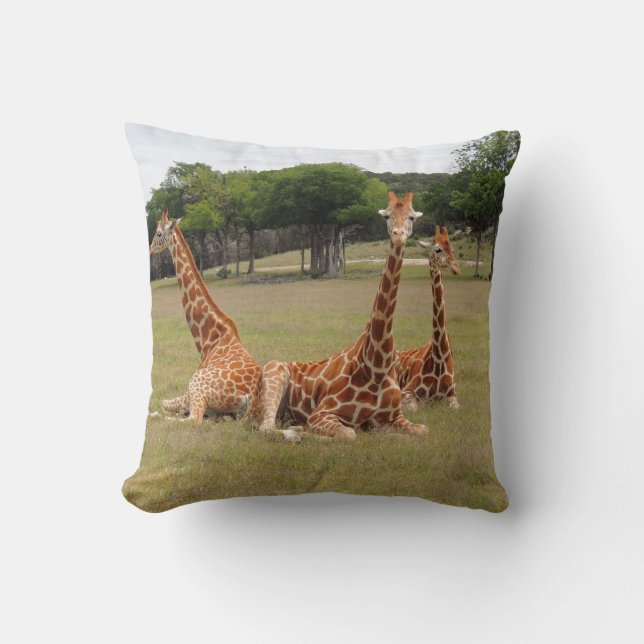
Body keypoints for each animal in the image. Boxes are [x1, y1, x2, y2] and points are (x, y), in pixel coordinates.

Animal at [149, 211, 262, 423]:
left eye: (158, 233)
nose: (150, 249)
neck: (209, 340)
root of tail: (251, 398)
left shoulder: (188, 394)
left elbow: (163, 404)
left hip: (197, 385)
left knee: (192, 420)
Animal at [257, 192, 429, 440]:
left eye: (412, 217)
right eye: (387, 216)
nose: (398, 236)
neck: (376, 365)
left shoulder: (393, 417)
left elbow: (423, 430)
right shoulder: (321, 413)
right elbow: (349, 434)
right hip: (274, 373)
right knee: (267, 428)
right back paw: (296, 431)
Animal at [395, 226, 460, 412]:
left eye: (452, 248)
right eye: (437, 249)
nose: (456, 268)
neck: (439, 356)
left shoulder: (453, 393)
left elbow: (454, 407)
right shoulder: (407, 390)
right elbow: (413, 408)